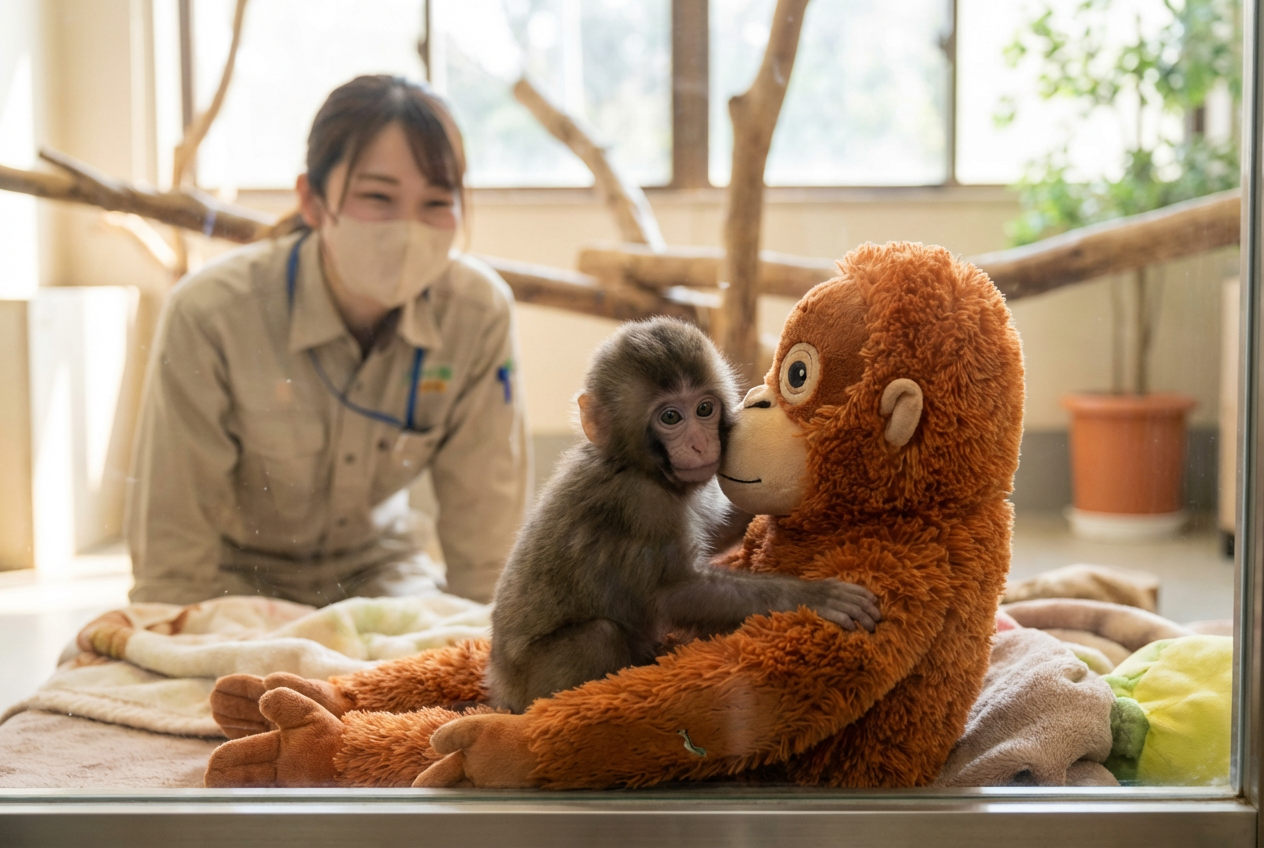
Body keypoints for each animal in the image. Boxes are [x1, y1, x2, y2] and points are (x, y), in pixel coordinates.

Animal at [486, 317, 880, 714]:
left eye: (704, 409)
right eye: (671, 417)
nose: (700, 444)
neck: (633, 466)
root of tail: (499, 688)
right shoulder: (643, 506)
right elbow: (674, 593)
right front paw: (811, 596)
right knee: (599, 636)